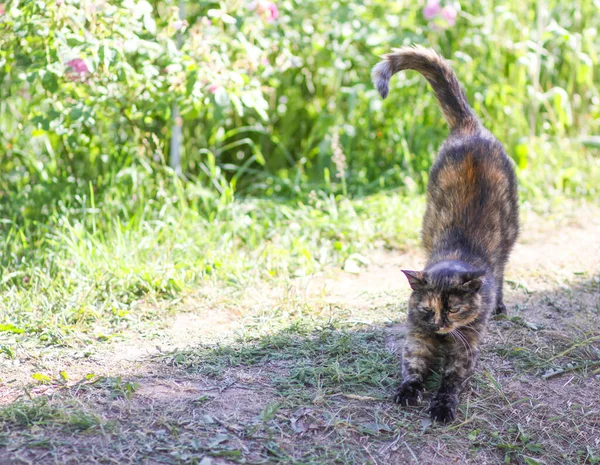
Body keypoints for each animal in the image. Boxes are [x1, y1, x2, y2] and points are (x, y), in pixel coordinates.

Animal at [370, 46, 516, 420]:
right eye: (427, 309)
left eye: (453, 309)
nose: (438, 325)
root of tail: (470, 128)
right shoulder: (417, 339)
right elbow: (413, 367)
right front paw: (408, 391)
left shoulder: (466, 349)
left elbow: (451, 381)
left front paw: (442, 406)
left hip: (511, 231)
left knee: (504, 267)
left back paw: (500, 305)